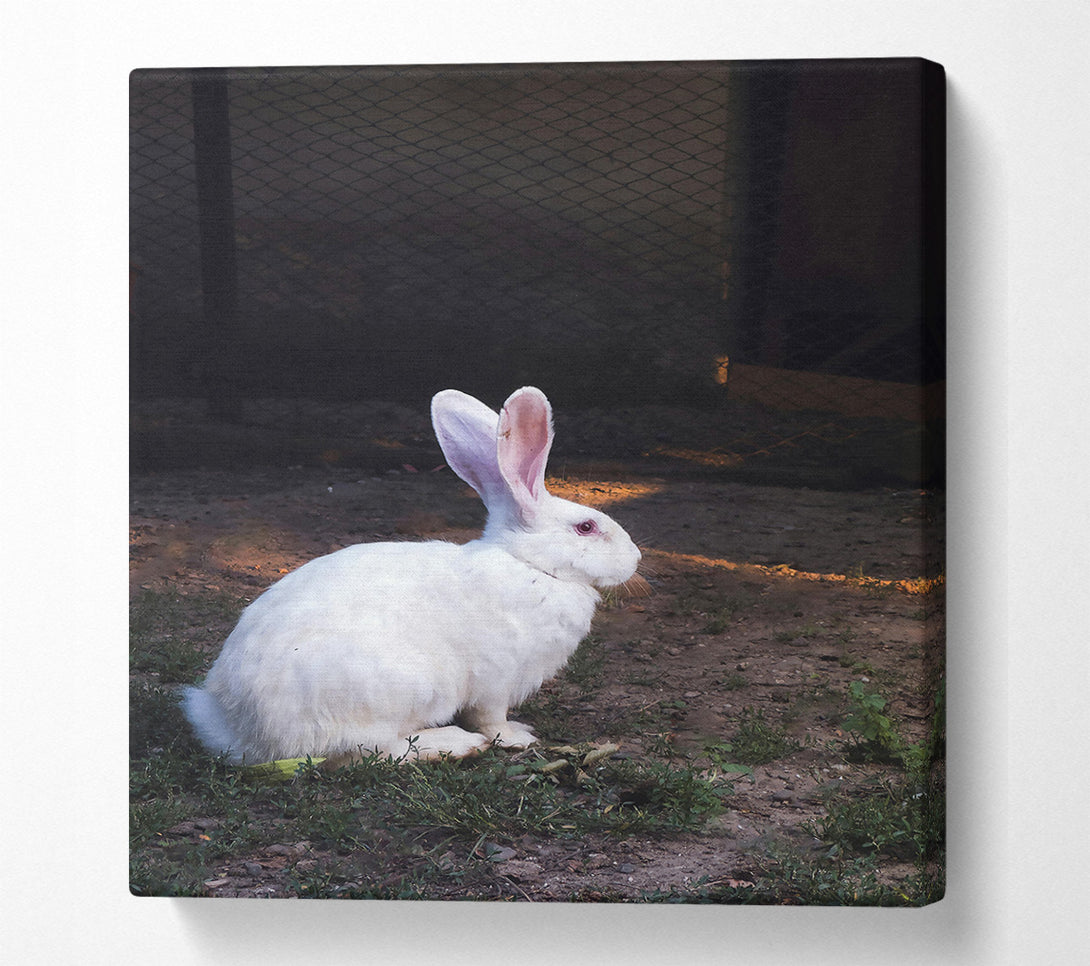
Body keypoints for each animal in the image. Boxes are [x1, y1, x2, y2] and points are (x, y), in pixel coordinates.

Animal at [182, 386, 642, 765]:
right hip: (399, 689)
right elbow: (491, 719)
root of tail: (244, 733)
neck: (529, 565)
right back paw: (454, 744)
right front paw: (518, 737)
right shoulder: (496, 680)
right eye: (586, 527)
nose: (636, 558)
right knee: (372, 752)